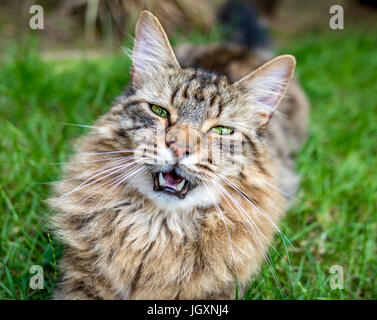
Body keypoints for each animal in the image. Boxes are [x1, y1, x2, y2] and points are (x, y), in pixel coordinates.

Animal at [49, 10, 308, 300]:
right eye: (159, 111)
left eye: (222, 130)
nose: (179, 147)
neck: (158, 230)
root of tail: (236, 46)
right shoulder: (80, 280)